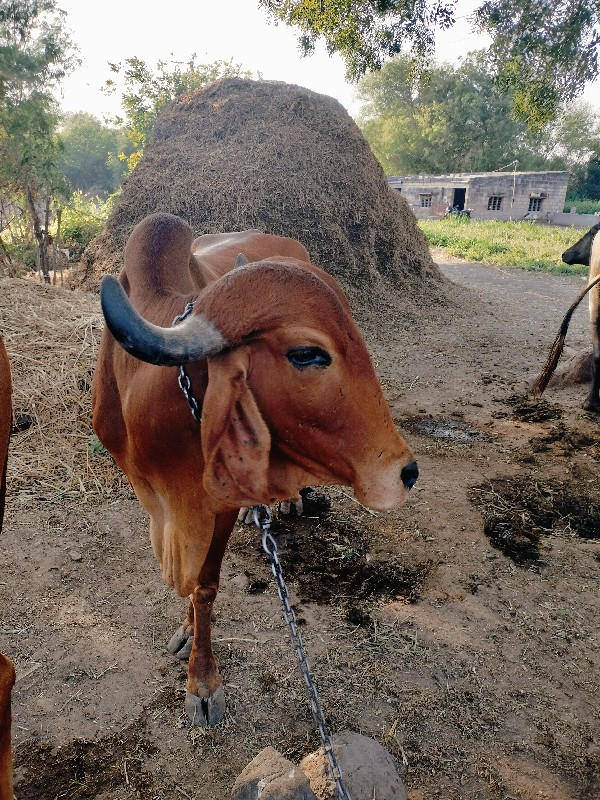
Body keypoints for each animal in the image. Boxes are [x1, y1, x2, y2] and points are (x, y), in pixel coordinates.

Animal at [94, 212, 420, 724]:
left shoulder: (217, 505)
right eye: (307, 353)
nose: (405, 473)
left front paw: (202, 679)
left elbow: (204, 586)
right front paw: (188, 635)